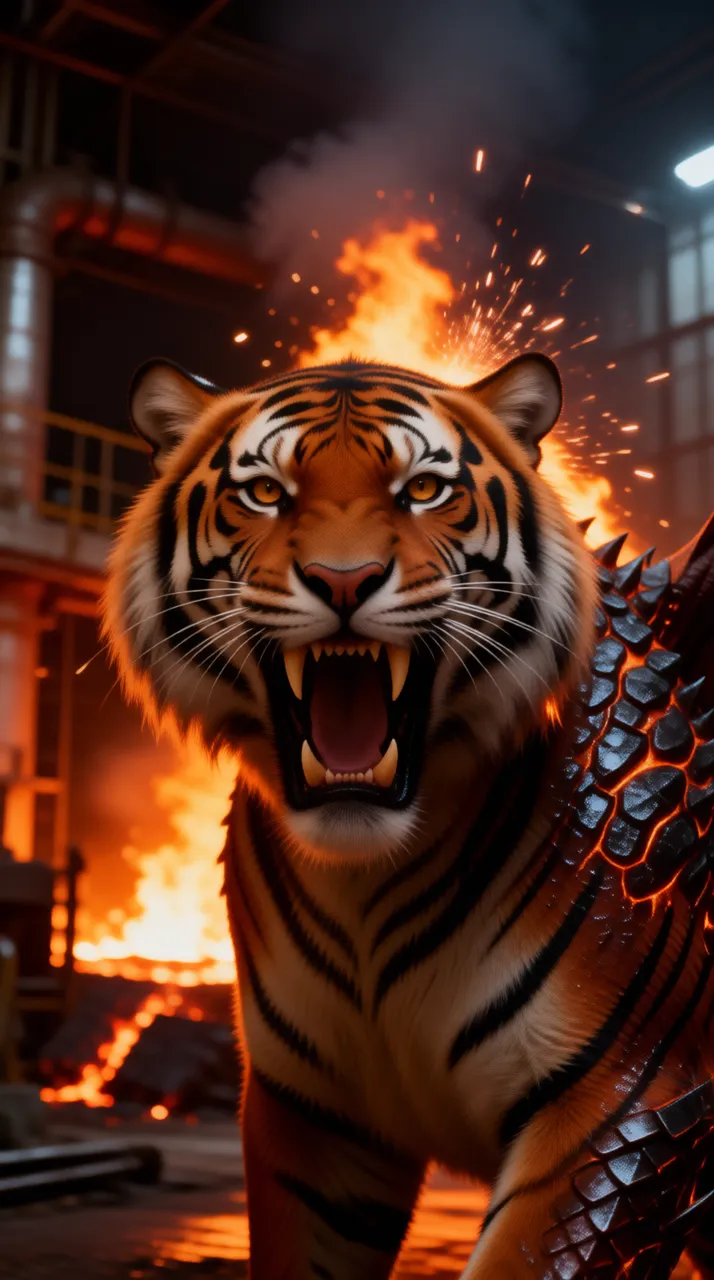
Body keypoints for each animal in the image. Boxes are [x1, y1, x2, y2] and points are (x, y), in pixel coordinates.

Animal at [104, 352, 714, 1279]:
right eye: (266, 492)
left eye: (424, 489)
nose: (343, 580)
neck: (367, 878)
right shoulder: (313, 1118)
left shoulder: (628, 1099)